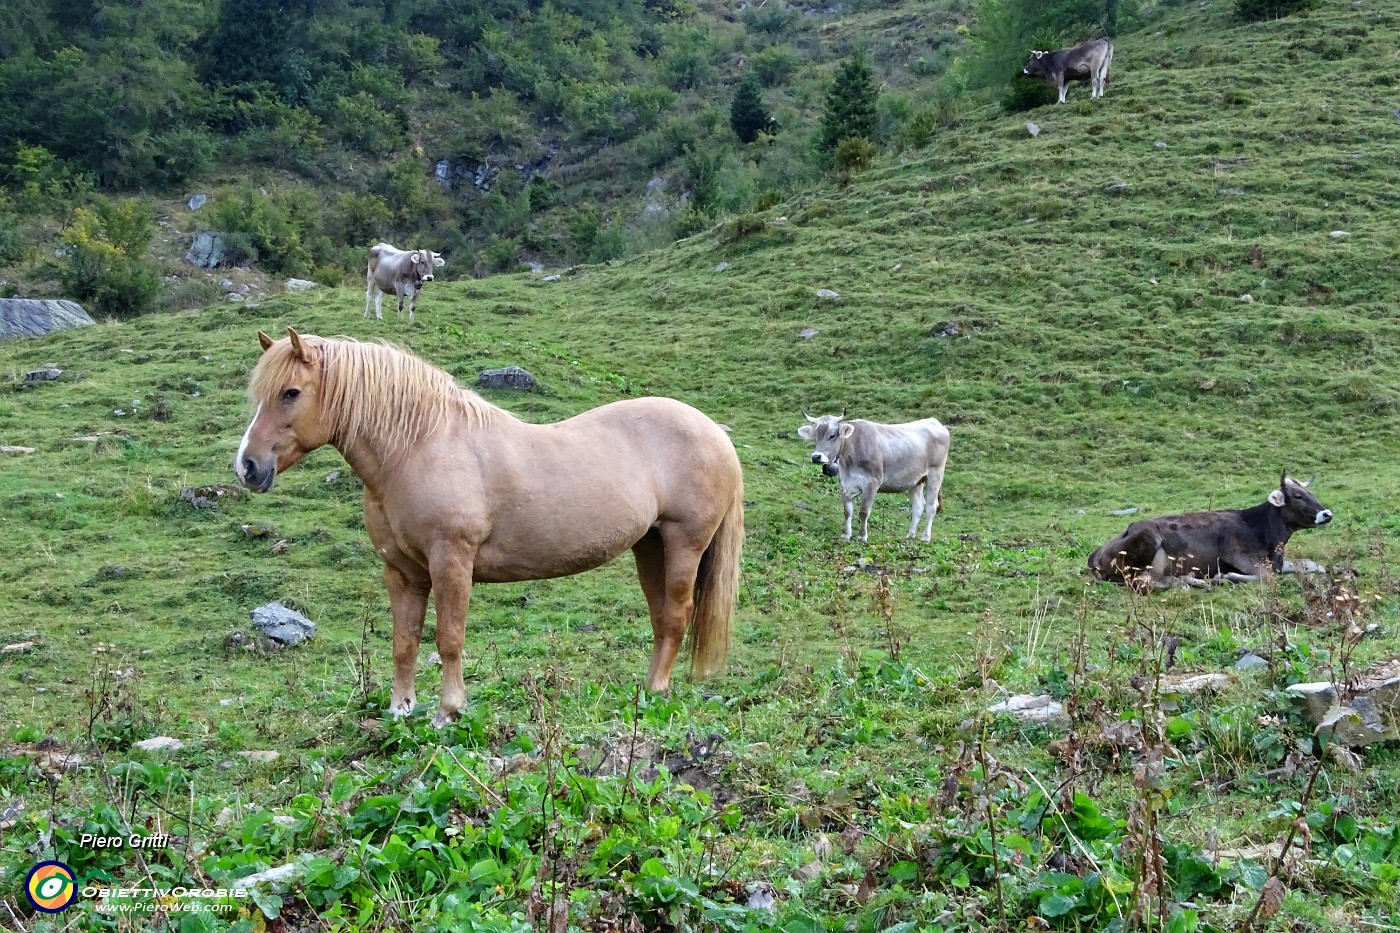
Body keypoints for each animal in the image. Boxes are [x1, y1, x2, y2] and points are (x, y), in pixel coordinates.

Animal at [238, 330, 744, 722]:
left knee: (676, 616)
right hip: (650, 546)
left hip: (684, 543)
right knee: (661, 619)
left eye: (290, 392)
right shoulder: (402, 571)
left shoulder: (451, 561)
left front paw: (449, 710)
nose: (247, 467)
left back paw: (656, 693)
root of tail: (715, 433)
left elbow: (449, 638)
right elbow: (404, 641)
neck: (419, 447)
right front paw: (401, 709)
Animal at [800, 411, 952, 540]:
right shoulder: (844, 484)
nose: (816, 457)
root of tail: (934, 421)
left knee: (931, 506)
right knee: (918, 506)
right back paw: (910, 535)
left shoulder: (872, 483)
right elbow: (847, 511)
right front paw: (846, 535)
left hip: (935, 474)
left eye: (832, 435)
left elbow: (864, 511)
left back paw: (925, 537)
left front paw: (862, 536)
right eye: (815, 436)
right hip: (915, 480)